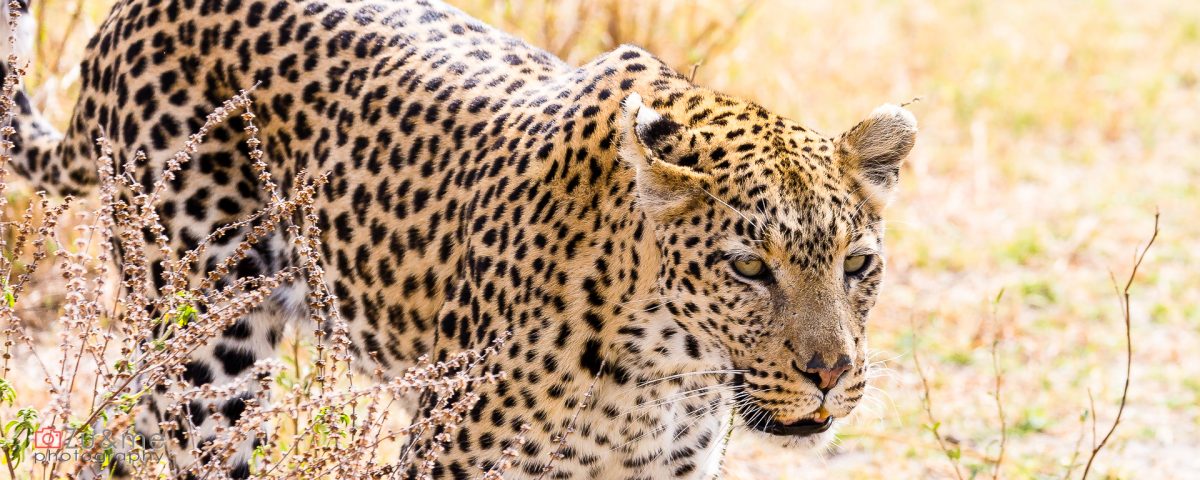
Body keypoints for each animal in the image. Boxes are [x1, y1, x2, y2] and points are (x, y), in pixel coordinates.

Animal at [4, 0, 916, 478]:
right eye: (748, 267)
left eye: (858, 265)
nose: (831, 375)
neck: (665, 372)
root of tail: (126, 12)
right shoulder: (449, 457)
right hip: (206, 349)